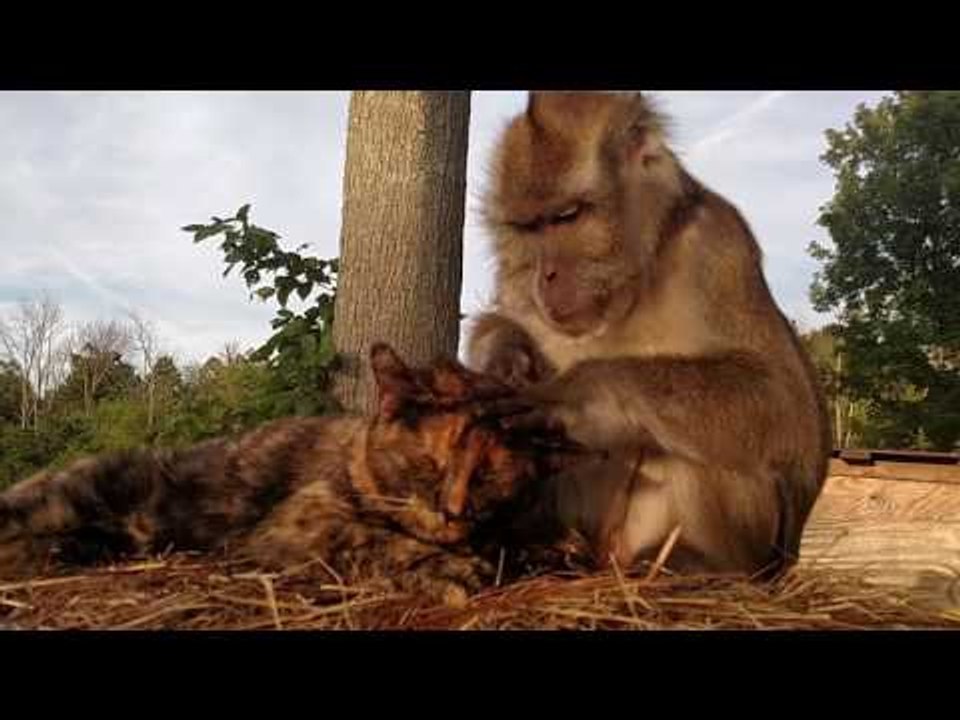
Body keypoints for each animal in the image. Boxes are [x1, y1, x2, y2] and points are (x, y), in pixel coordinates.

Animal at [466, 91, 832, 578]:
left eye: (567, 216)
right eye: (529, 227)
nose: (546, 274)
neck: (634, 282)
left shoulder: (717, 245)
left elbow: (785, 404)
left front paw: (583, 392)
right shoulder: (515, 273)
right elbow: (503, 322)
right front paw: (505, 354)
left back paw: (692, 561)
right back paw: (542, 552)